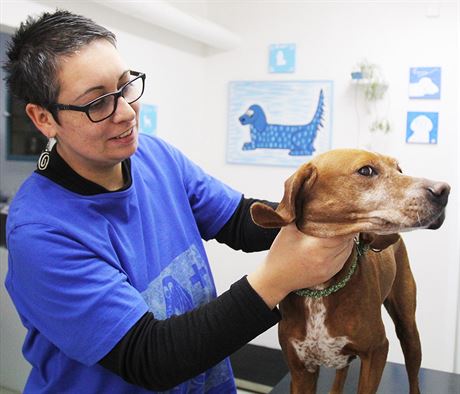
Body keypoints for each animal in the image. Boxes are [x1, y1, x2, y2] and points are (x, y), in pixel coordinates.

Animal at [252, 149, 450, 392]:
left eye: (399, 169)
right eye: (366, 170)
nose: (444, 190)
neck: (321, 290)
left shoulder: (376, 352)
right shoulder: (300, 371)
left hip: (408, 330)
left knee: (413, 376)